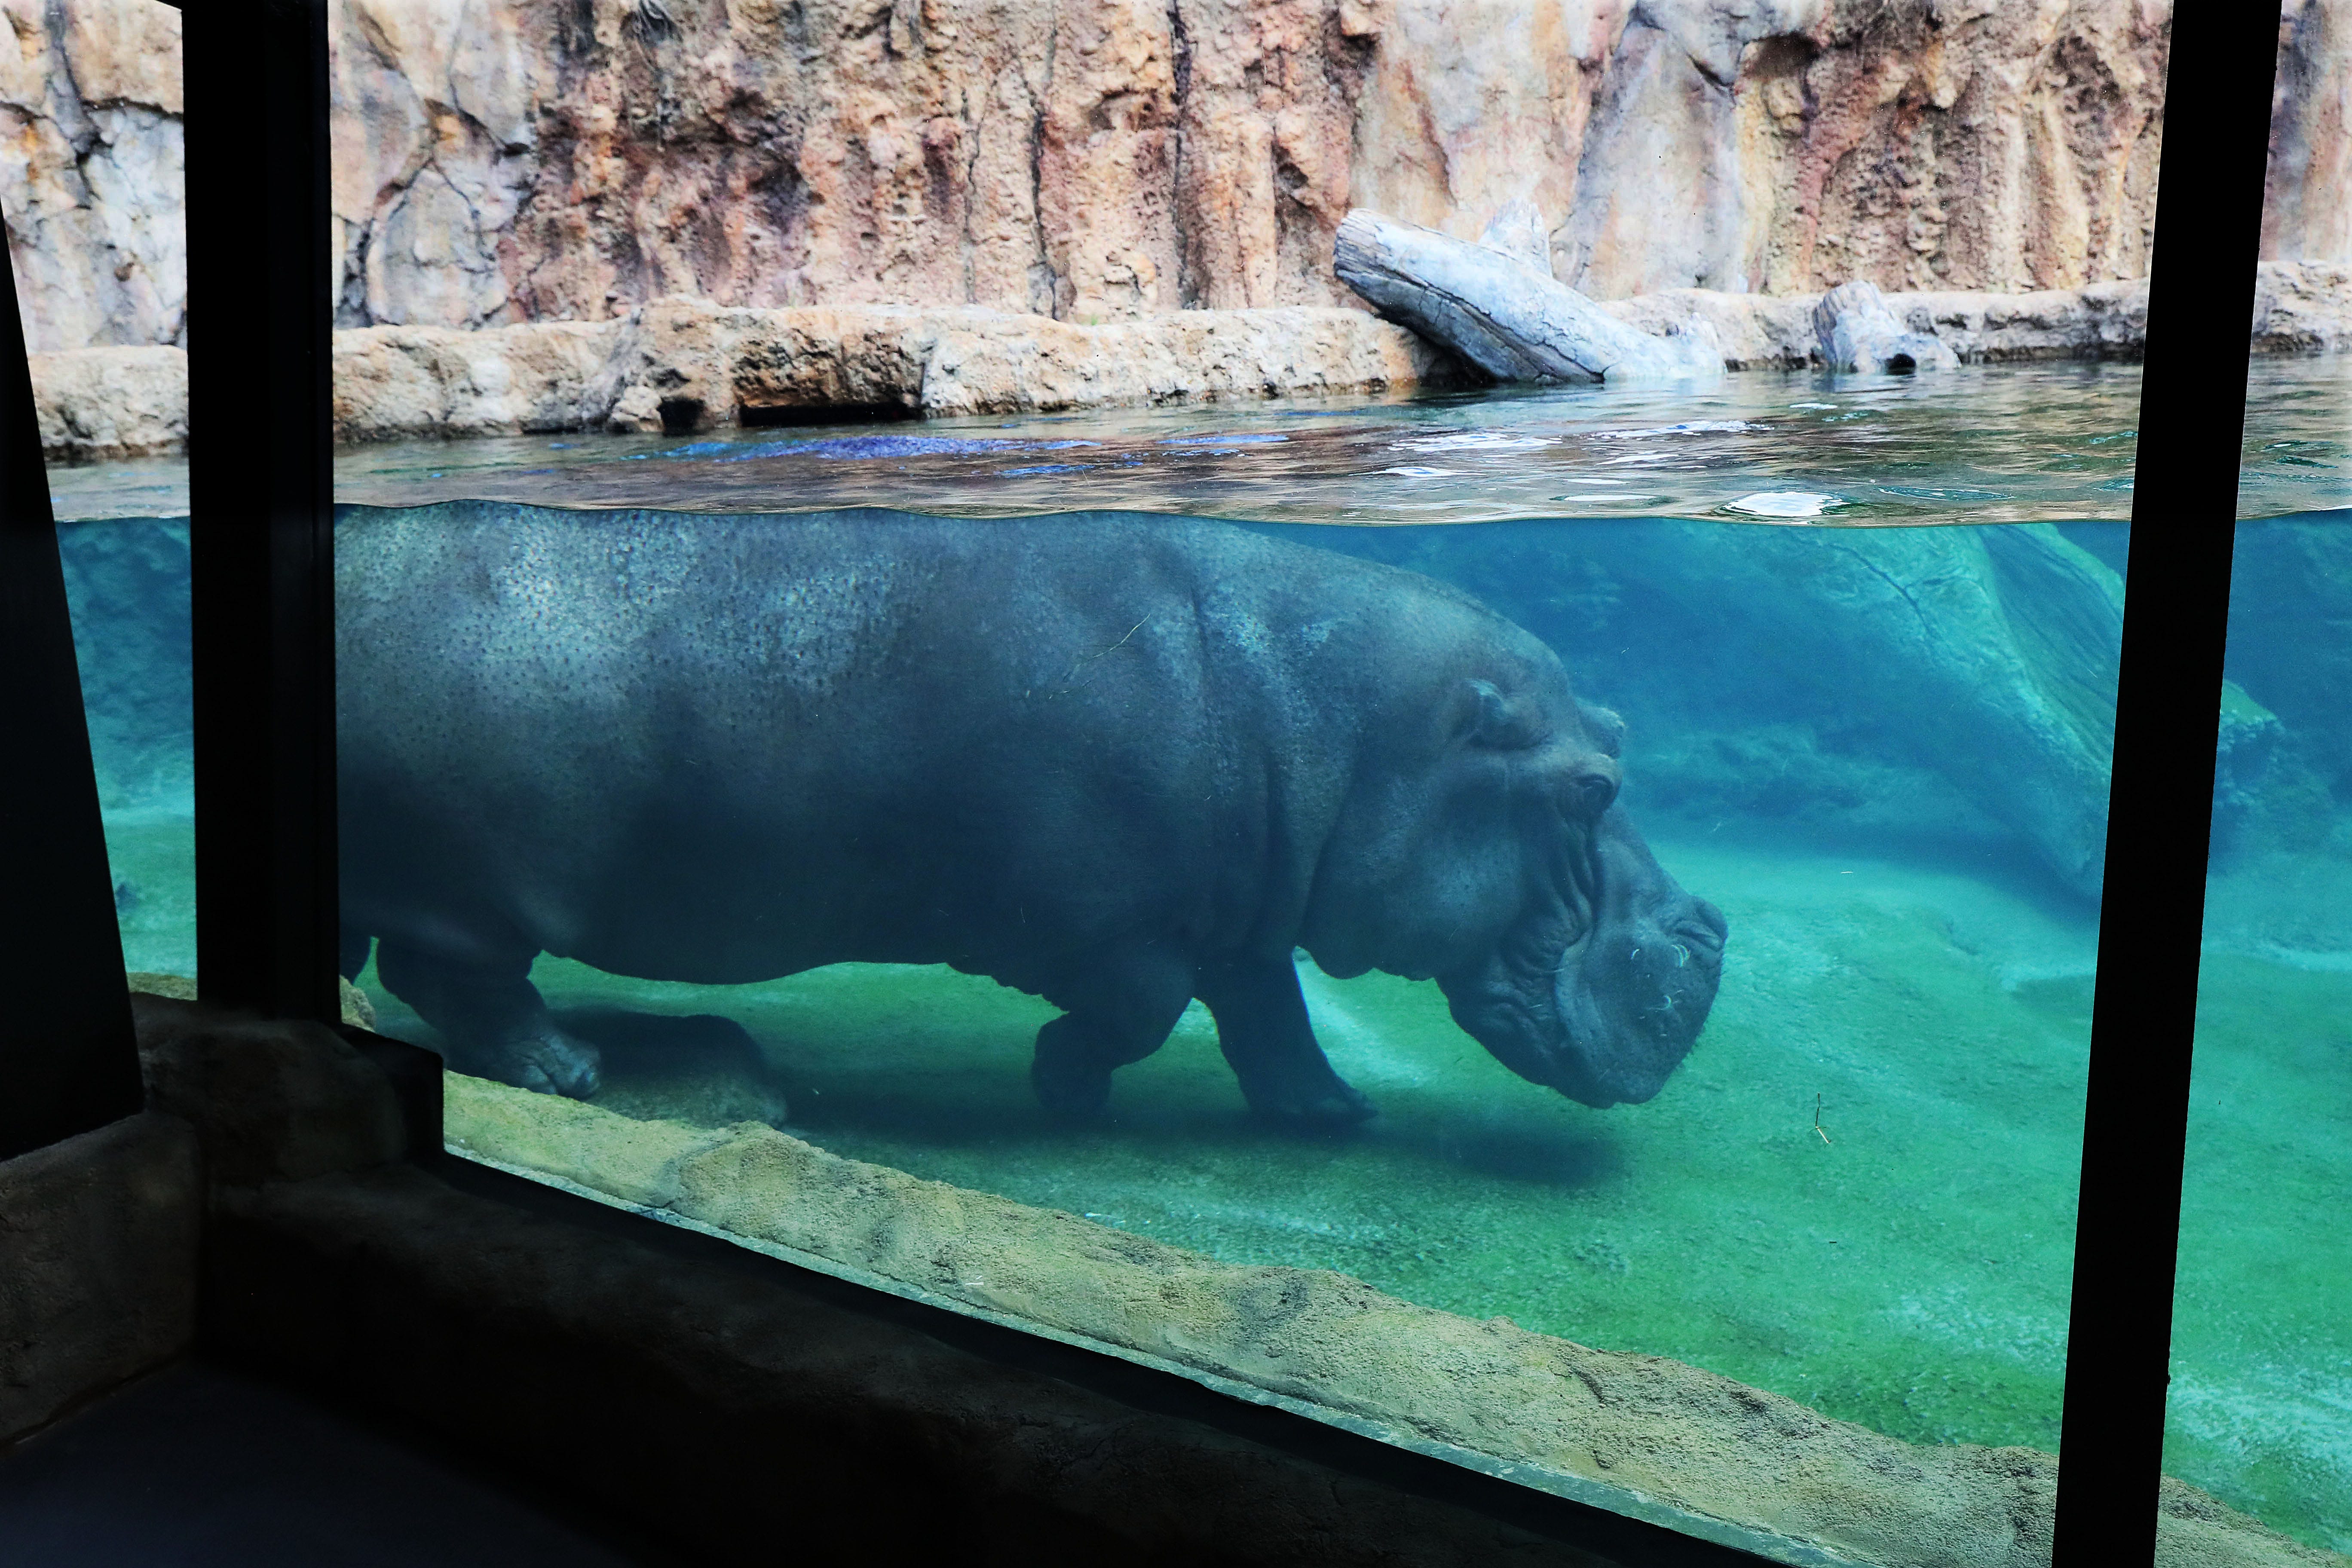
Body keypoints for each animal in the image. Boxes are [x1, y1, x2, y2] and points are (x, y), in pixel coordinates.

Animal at [335, 503, 1727, 1126]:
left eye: (1620, 733)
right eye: (1590, 787)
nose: (1710, 933)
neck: (1330, 717)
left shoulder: (1241, 915)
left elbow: (1268, 1015)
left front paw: (1332, 1116)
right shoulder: (1108, 925)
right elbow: (1146, 1010)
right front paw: (1061, 1084)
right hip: (464, 880)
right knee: (451, 974)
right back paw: (568, 1069)